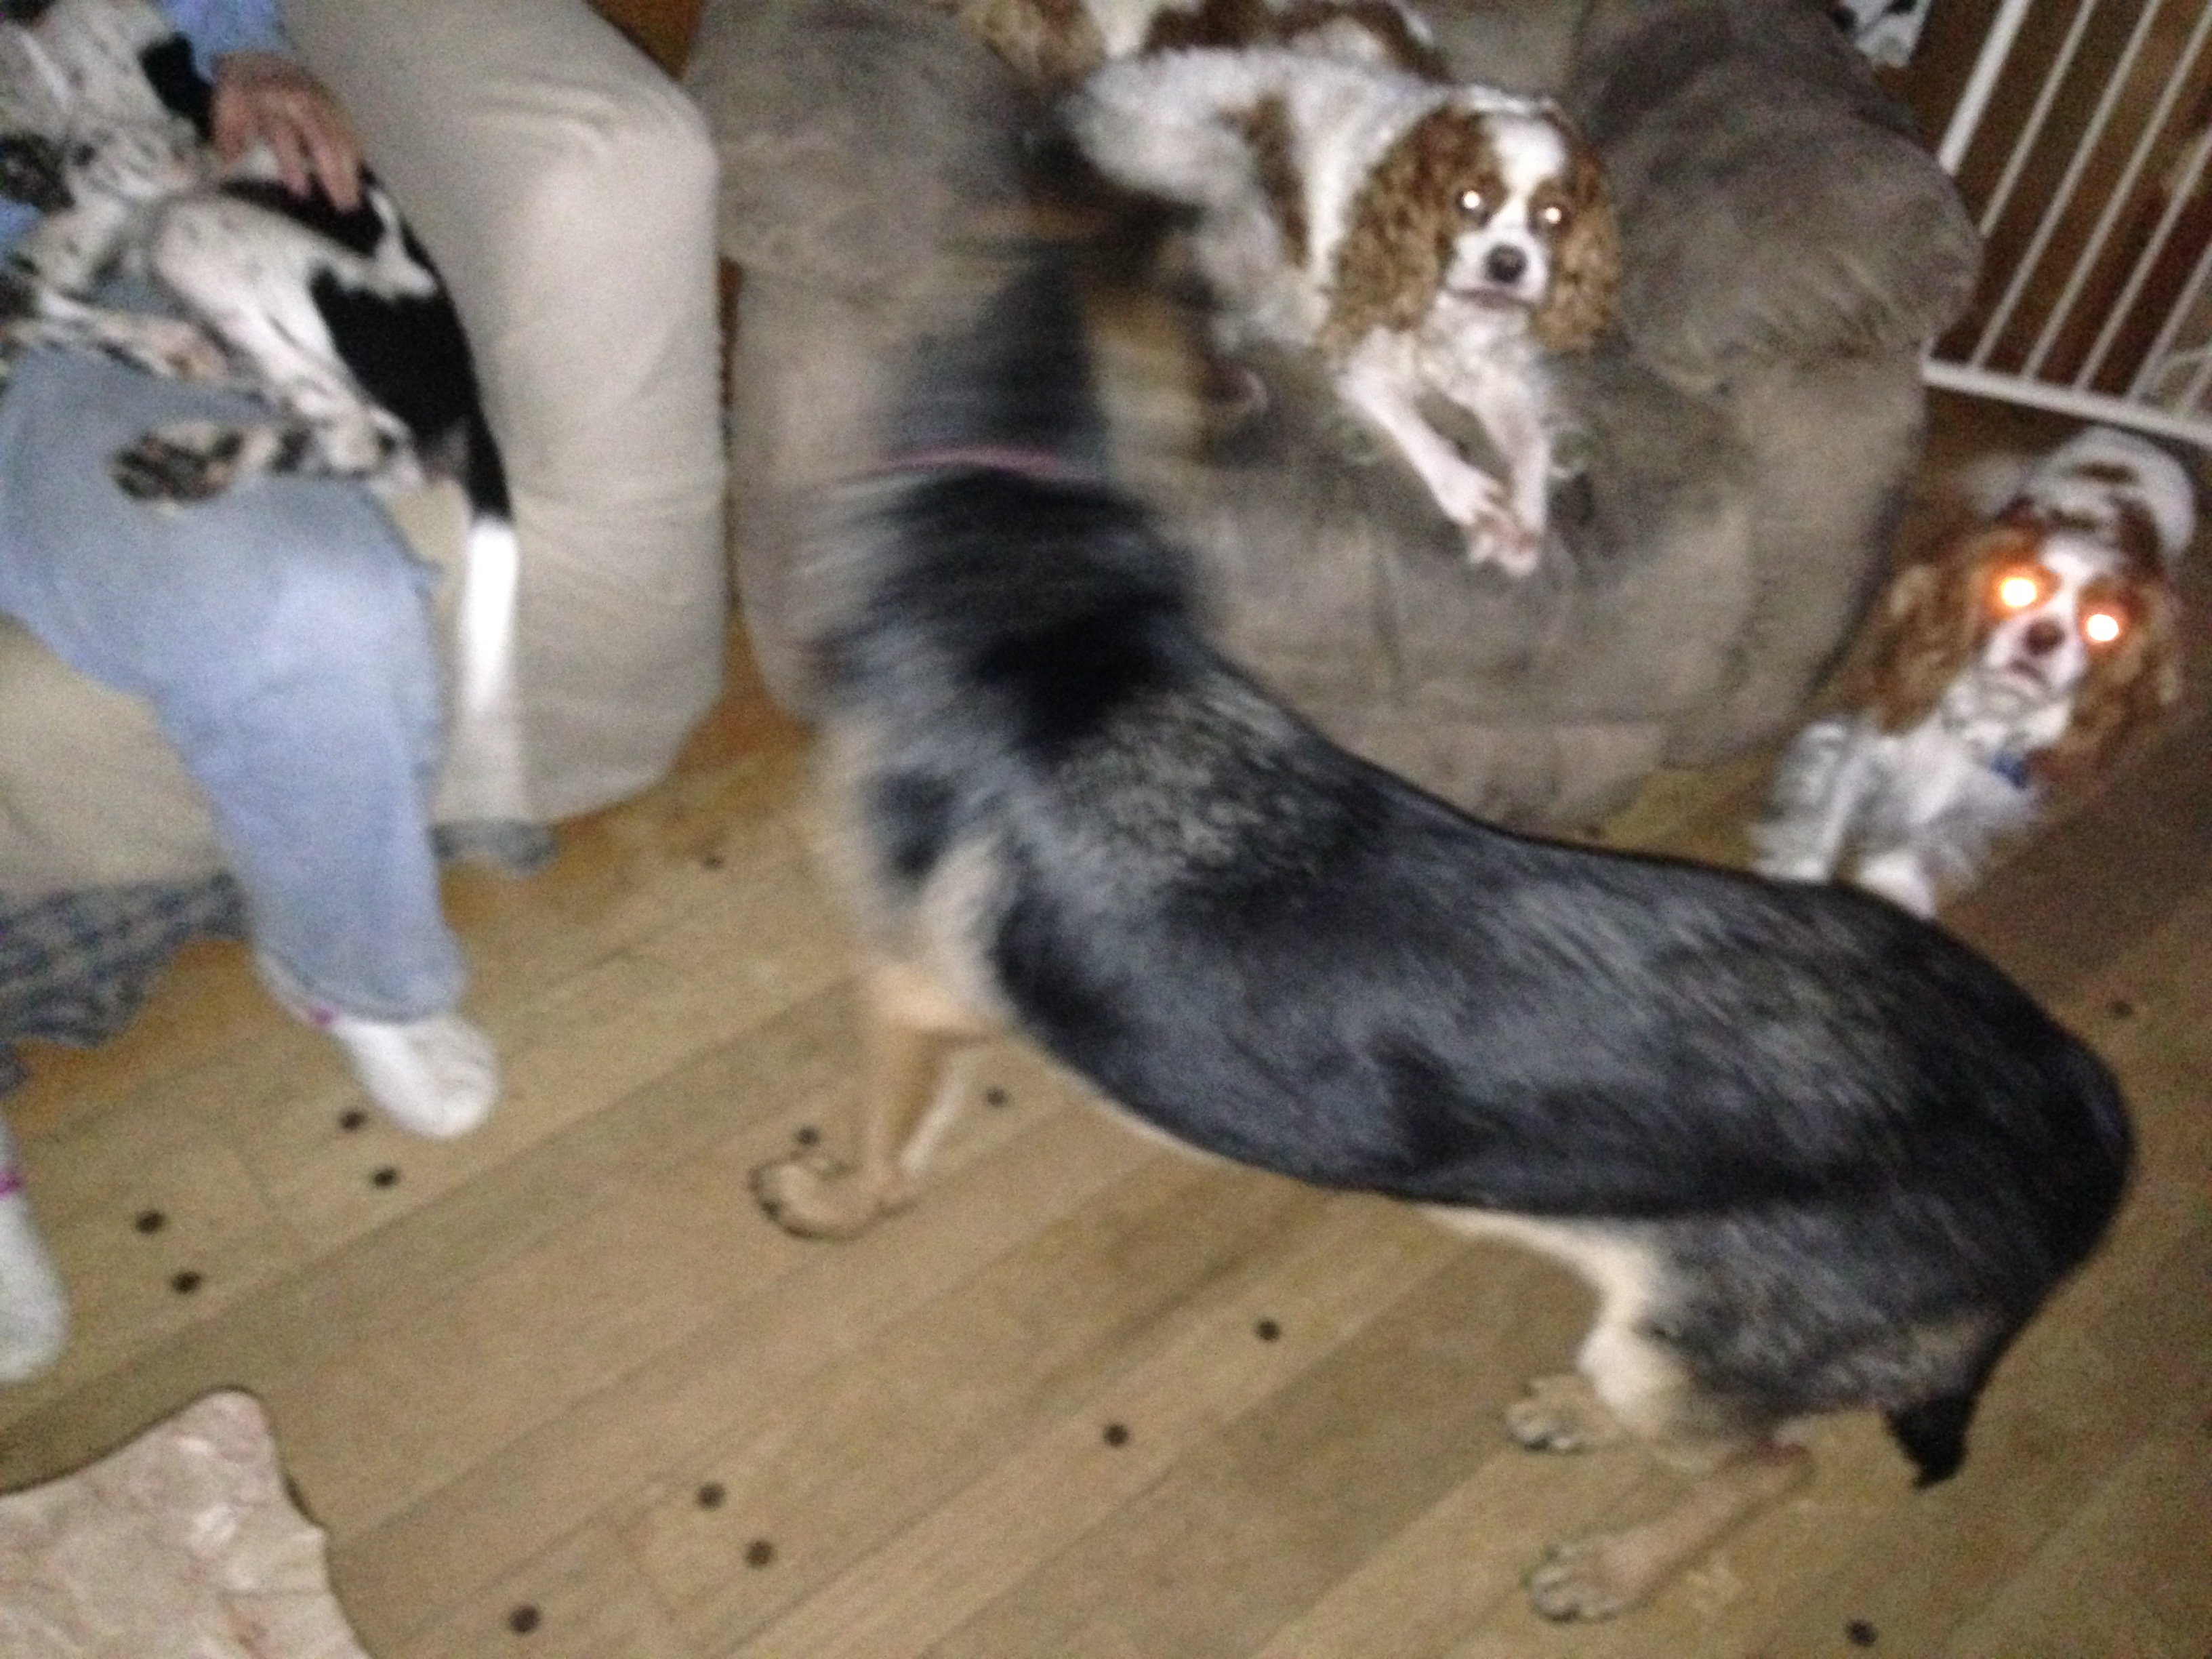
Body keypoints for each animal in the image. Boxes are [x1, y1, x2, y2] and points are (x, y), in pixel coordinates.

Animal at [747, 247, 2134, 1620]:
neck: (1027, 494)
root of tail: (2077, 1114)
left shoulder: (907, 991)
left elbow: (879, 1152)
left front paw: (825, 1199)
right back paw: (1574, 1415)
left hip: (1685, 1359)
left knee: (1772, 1466)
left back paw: (1613, 1568)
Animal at [1068, 43, 1619, 574]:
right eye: (1468, 200)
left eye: (1555, 216)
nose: (1508, 263)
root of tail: (1089, 97)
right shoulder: (1364, 364)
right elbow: (1415, 429)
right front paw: (1473, 500)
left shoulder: (1492, 369)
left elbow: (1532, 443)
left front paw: (1525, 517)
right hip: (1218, 169)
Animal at [1753, 425, 2194, 918]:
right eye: (2014, 589)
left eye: (2105, 626)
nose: (2044, 636)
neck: (1986, 706)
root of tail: (2136, 438)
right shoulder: (1870, 739)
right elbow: (1831, 811)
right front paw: (1801, 870)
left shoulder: (1987, 794)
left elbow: (1925, 836)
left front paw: (1893, 881)